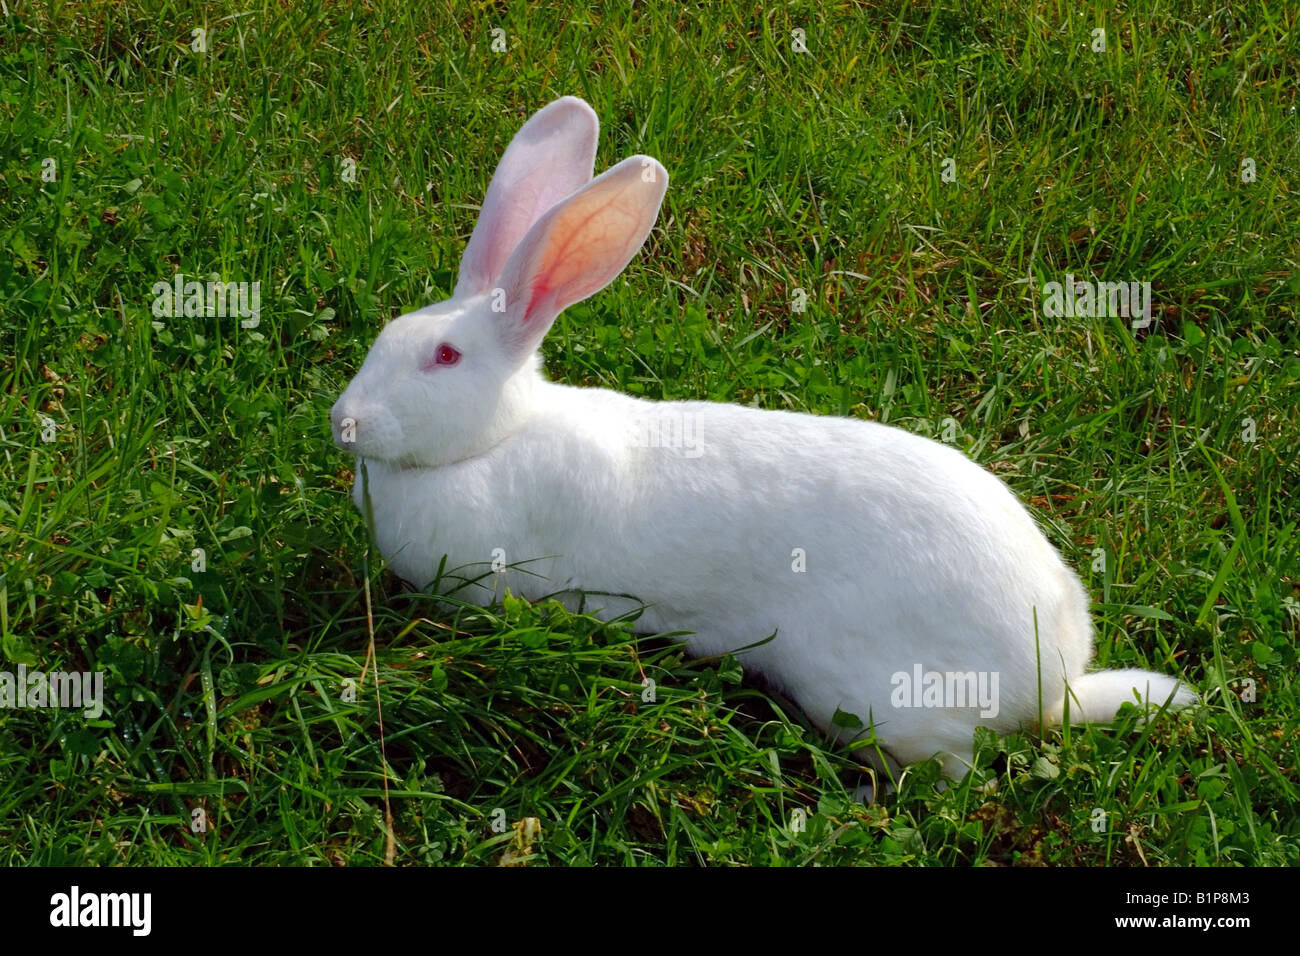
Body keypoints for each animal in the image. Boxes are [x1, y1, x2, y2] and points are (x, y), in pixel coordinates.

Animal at [330, 96, 1197, 786]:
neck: (495, 441)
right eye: (389, 334)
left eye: (443, 358)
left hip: (874, 699)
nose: (346, 422)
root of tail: (1054, 681)